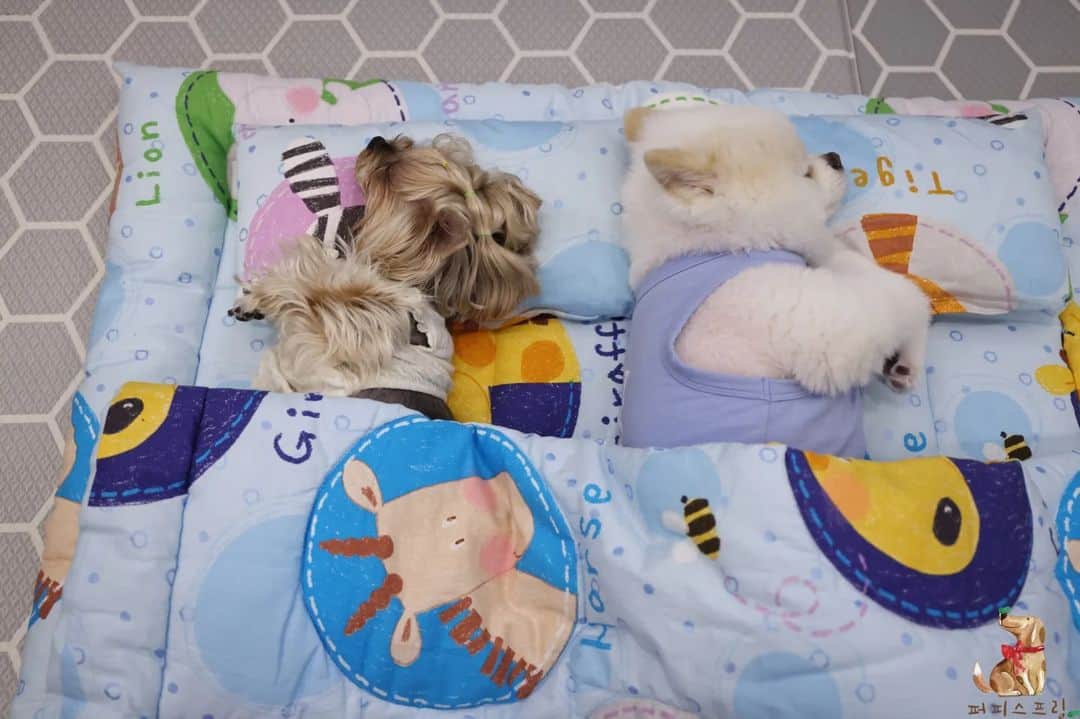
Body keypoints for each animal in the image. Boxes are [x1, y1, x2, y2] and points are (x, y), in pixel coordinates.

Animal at [622, 104, 933, 451]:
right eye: (805, 173)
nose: (835, 156)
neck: (706, 247)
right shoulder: (826, 329)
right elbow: (895, 293)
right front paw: (910, 349)